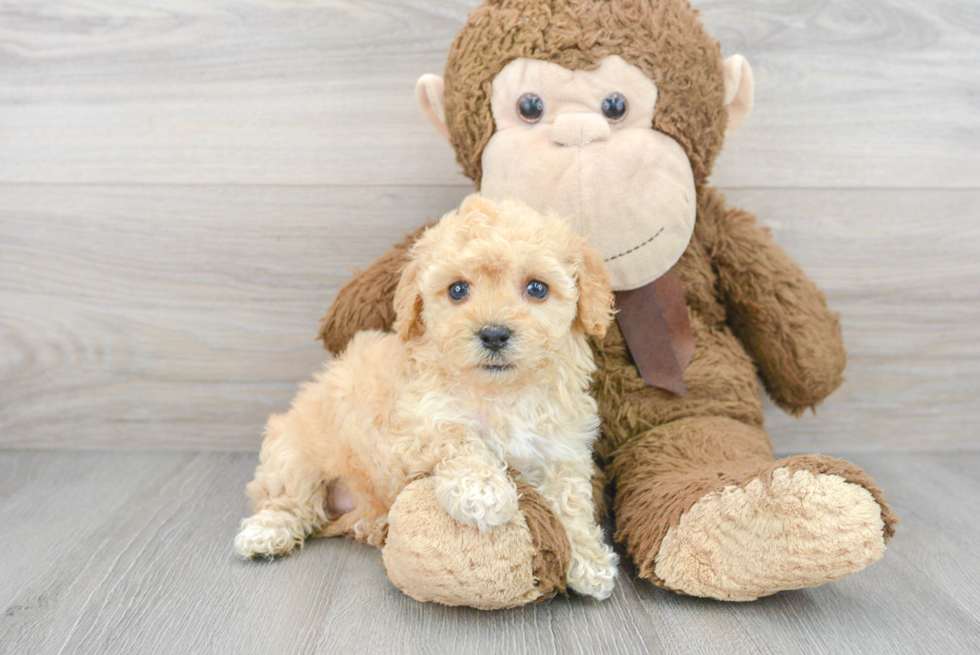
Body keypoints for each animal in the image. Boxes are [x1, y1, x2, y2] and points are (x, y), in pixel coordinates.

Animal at [234, 195, 616, 600]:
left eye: (538, 289)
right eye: (458, 290)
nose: (494, 334)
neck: (501, 392)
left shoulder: (560, 447)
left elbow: (572, 501)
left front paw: (589, 560)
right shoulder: (413, 422)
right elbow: (457, 436)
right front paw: (485, 492)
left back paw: (374, 527)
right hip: (292, 454)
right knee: (290, 503)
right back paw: (265, 535)